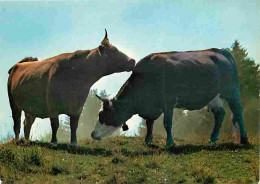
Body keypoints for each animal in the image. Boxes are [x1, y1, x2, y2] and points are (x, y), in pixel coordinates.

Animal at [7, 29, 135, 146]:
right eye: (113, 51)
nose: (133, 61)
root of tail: (19, 64)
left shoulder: (78, 107)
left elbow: (74, 125)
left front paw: (74, 142)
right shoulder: (52, 105)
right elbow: (55, 124)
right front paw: (54, 142)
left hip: (30, 108)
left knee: (27, 123)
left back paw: (27, 141)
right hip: (14, 103)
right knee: (17, 123)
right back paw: (17, 141)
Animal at [91, 48, 248, 147]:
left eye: (102, 115)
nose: (93, 134)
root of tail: (221, 51)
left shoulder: (169, 101)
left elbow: (167, 123)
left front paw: (170, 142)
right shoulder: (151, 107)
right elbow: (149, 123)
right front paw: (148, 141)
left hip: (231, 91)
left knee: (238, 112)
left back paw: (244, 139)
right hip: (214, 96)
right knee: (220, 113)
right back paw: (213, 138)